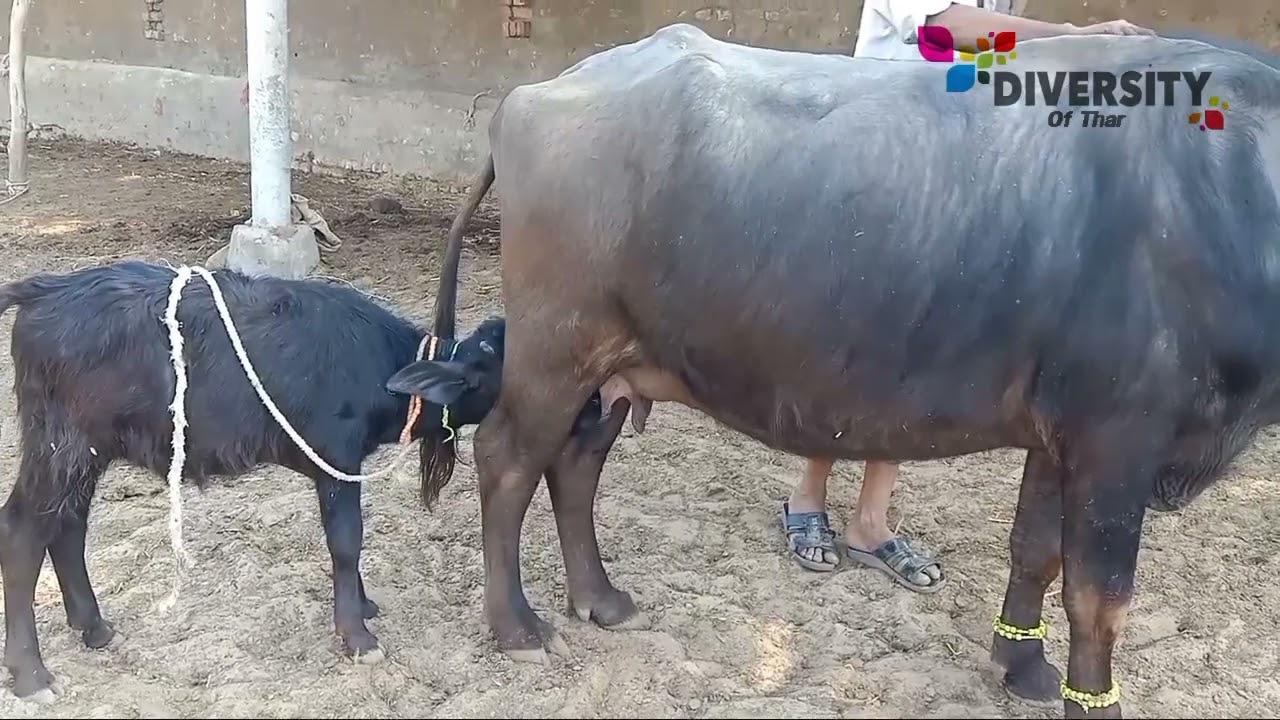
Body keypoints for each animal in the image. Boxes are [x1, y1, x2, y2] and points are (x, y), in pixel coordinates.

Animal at [0, 259, 609, 702]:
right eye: (522, 373)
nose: (596, 407)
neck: (381, 366)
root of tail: (46, 288)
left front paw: (363, 606)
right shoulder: (334, 461)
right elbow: (345, 541)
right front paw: (357, 635)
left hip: (85, 454)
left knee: (68, 527)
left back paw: (93, 627)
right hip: (59, 448)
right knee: (24, 533)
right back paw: (33, 676)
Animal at [386, 22, 1280, 719]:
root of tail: (536, 97)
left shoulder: (1060, 435)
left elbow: (1034, 549)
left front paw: (1021, 664)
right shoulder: (1117, 438)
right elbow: (1100, 599)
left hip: (616, 371)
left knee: (574, 466)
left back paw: (600, 600)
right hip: (555, 351)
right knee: (508, 460)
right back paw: (516, 625)